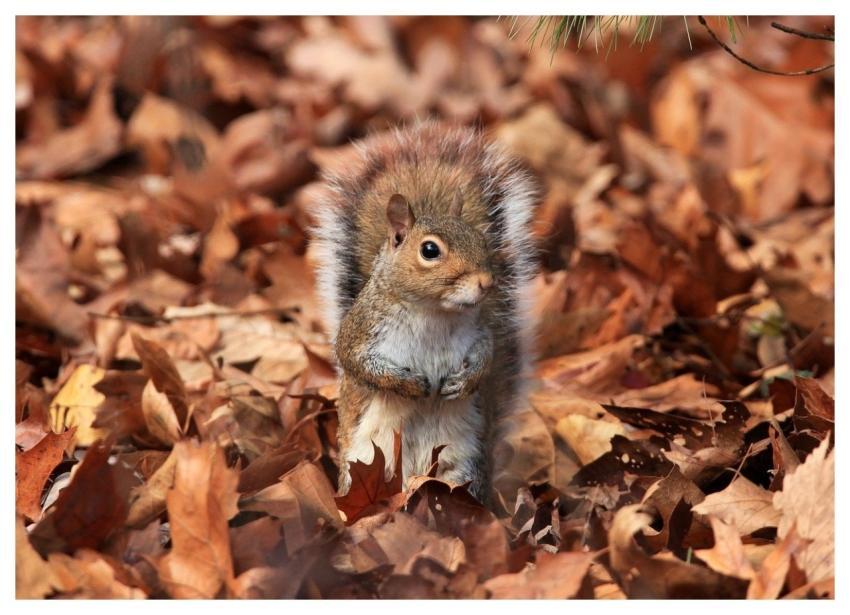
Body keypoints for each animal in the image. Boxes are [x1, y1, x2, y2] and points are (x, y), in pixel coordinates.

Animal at [311, 122, 537, 506]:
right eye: (429, 250)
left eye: (480, 240)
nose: (486, 282)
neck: (434, 313)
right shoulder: (362, 331)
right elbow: (359, 363)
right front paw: (408, 384)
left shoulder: (479, 334)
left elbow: (486, 358)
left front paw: (464, 381)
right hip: (365, 457)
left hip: (461, 463)